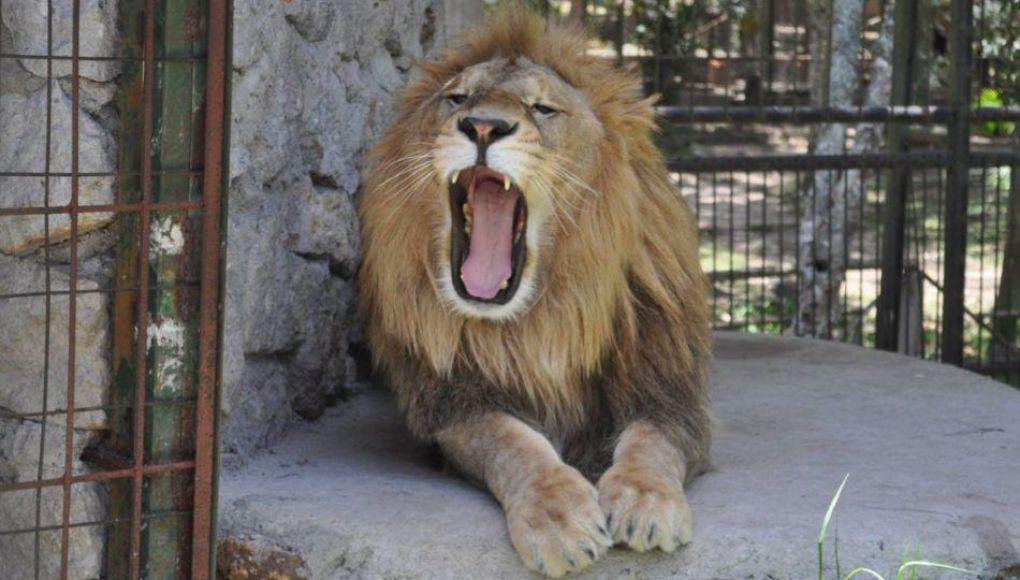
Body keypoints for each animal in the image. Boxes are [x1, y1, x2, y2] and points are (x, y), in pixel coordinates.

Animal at [358, 6, 711, 577]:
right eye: (457, 99)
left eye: (543, 108)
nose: (482, 125)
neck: (542, 319)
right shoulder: (453, 408)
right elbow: (513, 443)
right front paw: (558, 522)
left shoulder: (671, 393)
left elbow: (651, 443)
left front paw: (647, 505)